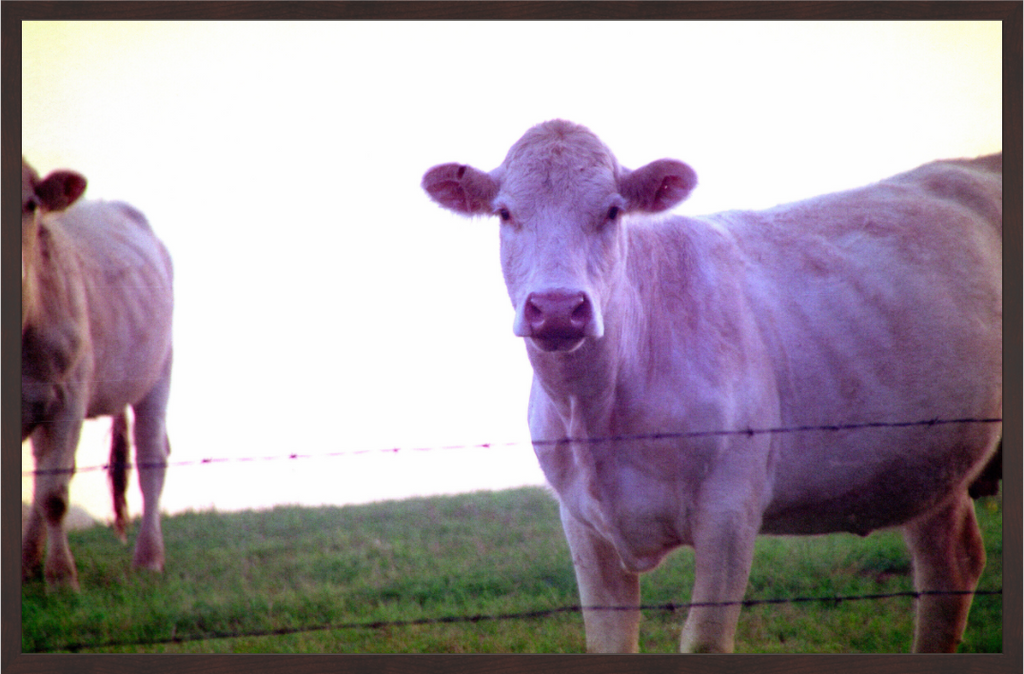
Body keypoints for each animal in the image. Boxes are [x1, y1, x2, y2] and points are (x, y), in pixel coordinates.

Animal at [22, 159, 174, 591]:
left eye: (31, 204)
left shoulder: (67, 399)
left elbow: (55, 494)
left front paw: (62, 579)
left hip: (157, 372)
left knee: (152, 457)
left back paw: (149, 558)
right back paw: (27, 561)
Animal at [421, 120, 1001, 653]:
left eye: (612, 211)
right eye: (505, 213)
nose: (559, 308)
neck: (597, 414)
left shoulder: (730, 509)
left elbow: (704, 640)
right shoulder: (582, 522)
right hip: (931, 464)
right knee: (950, 565)